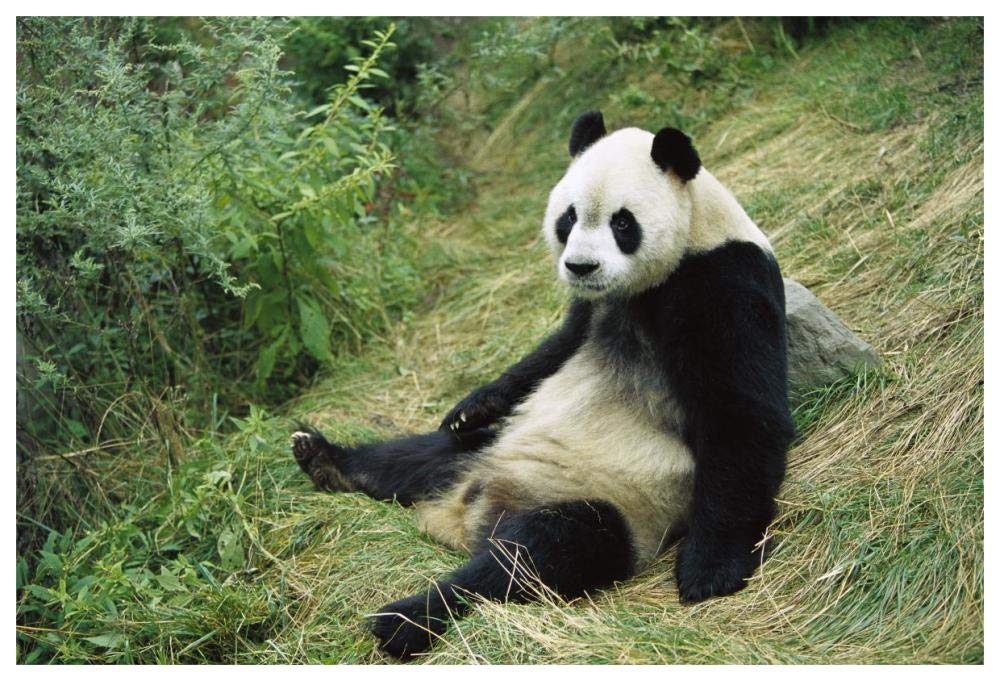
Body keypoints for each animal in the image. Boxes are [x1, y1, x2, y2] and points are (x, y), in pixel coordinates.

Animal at [290, 111, 796, 660]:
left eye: (622, 223)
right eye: (568, 218)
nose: (580, 266)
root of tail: (465, 516)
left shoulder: (723, 284)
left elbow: (741, 416)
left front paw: (709, 571)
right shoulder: (592, 310)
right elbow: (551, 353)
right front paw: (471, 406)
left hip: (622, 507)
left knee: (542, 552)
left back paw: (406, 619)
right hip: (488, 451)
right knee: (421, 455)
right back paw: (325, 459)